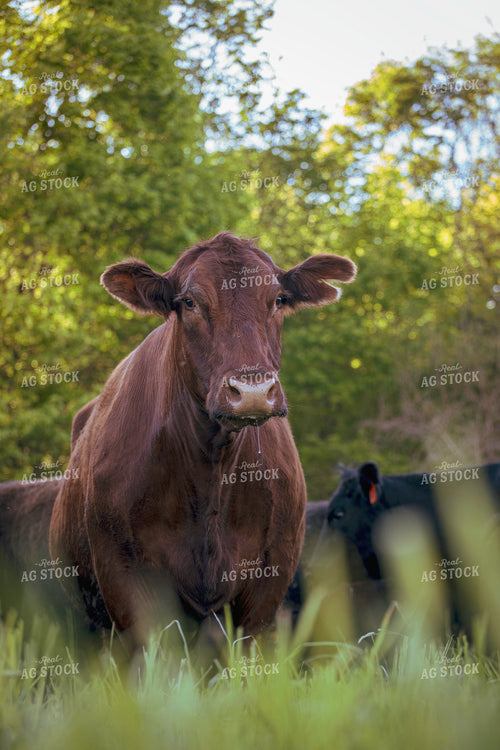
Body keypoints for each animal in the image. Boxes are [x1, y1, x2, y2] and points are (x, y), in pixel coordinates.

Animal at [48, 232, 357, 651]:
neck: (211, 465)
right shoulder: (124, 576)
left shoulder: (267, 581)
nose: (252, 391)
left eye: (278, 299)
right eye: (190, 302)